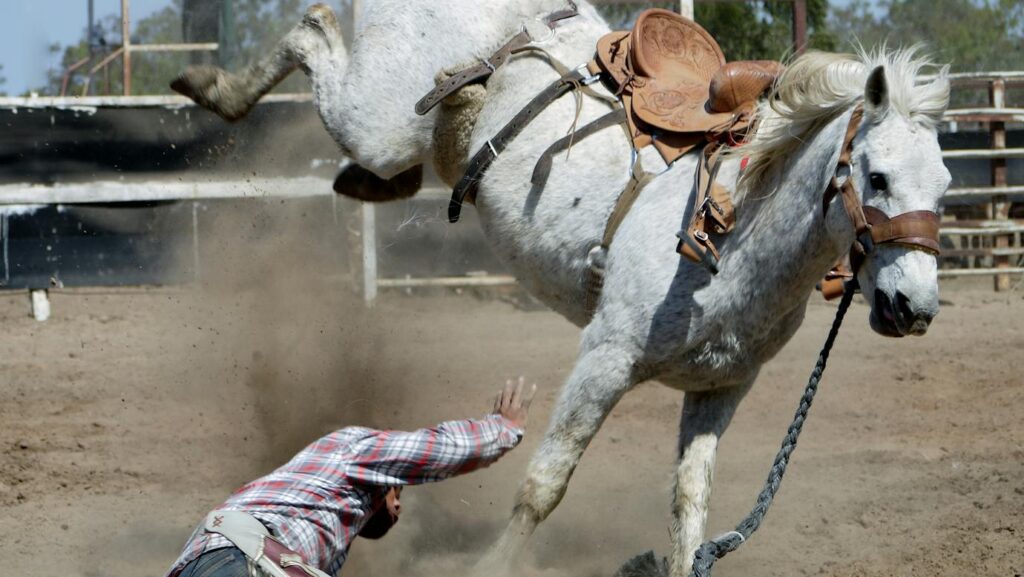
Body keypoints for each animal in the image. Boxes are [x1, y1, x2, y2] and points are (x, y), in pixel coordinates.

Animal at [170, 2, 951, 575]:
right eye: (877, 175)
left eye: (944, 184)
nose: (913, 308)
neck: (735, 230)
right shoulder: (604, 358)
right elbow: (545, 483)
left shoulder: (722, 387)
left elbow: (689, 504)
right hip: (377, 117)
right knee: (313, 28)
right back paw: (212, 88)